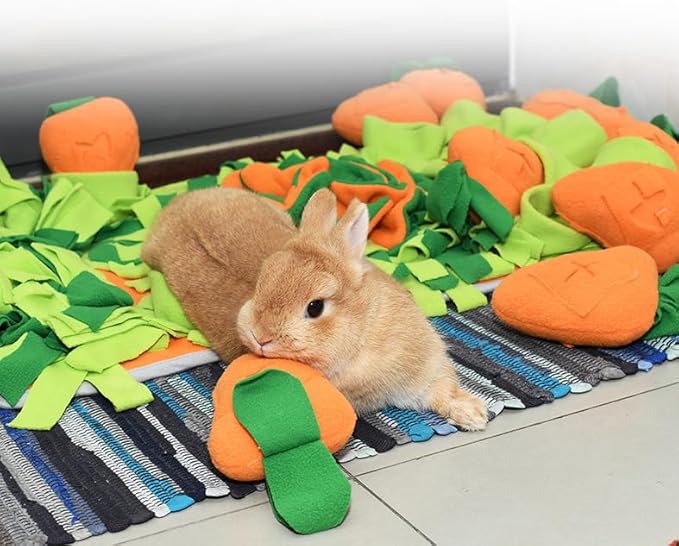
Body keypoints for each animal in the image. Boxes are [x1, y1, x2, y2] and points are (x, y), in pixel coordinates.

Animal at [236, 188, 488, 430]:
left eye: (315, 307)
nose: (260, 336)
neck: (362, 333)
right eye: (262, 280)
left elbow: (441, 388)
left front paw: (474, 415)